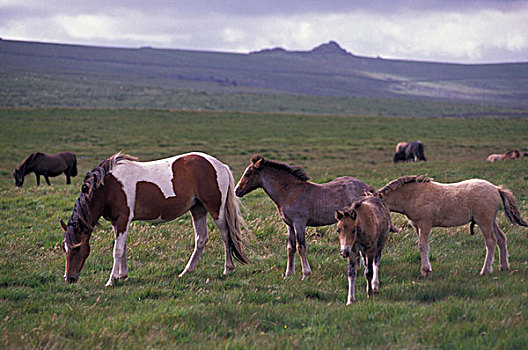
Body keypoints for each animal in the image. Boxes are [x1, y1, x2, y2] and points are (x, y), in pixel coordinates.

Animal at [58, 152, 249, 286]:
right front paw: (122, 276)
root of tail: (220, 165)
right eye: (64, 247)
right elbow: (123, 248)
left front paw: (111, 280)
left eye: (77, 248)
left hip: (216, 210)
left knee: (226, 236)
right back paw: (186, 271)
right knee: (201, 239)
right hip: (198, 209)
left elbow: (117, 250)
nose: (70, 278)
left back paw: (228, 269)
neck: (109, 186)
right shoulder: (116, 223)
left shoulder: (123, 220)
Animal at [235, 155, 372, 278]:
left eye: (248, 174)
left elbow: (301, 247)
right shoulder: (289, 225)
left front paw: (306, 274)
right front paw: (288, 274)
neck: (290, 192)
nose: (237, 191)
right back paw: (357, 267)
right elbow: (290, 248)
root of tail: (365, 187)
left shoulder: (299, 224)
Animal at [374, 176, 524, 278]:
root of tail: (496, 188)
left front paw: (425, 271)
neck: (413, 195)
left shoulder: (425, 224)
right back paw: (504, 267)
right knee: (501, 238)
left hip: (484, 221)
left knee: (491, 242)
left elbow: (423, 246)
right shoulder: (417, 226)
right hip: (492, 221)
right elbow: (421, 246)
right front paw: (426, 269)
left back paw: (485, 270)